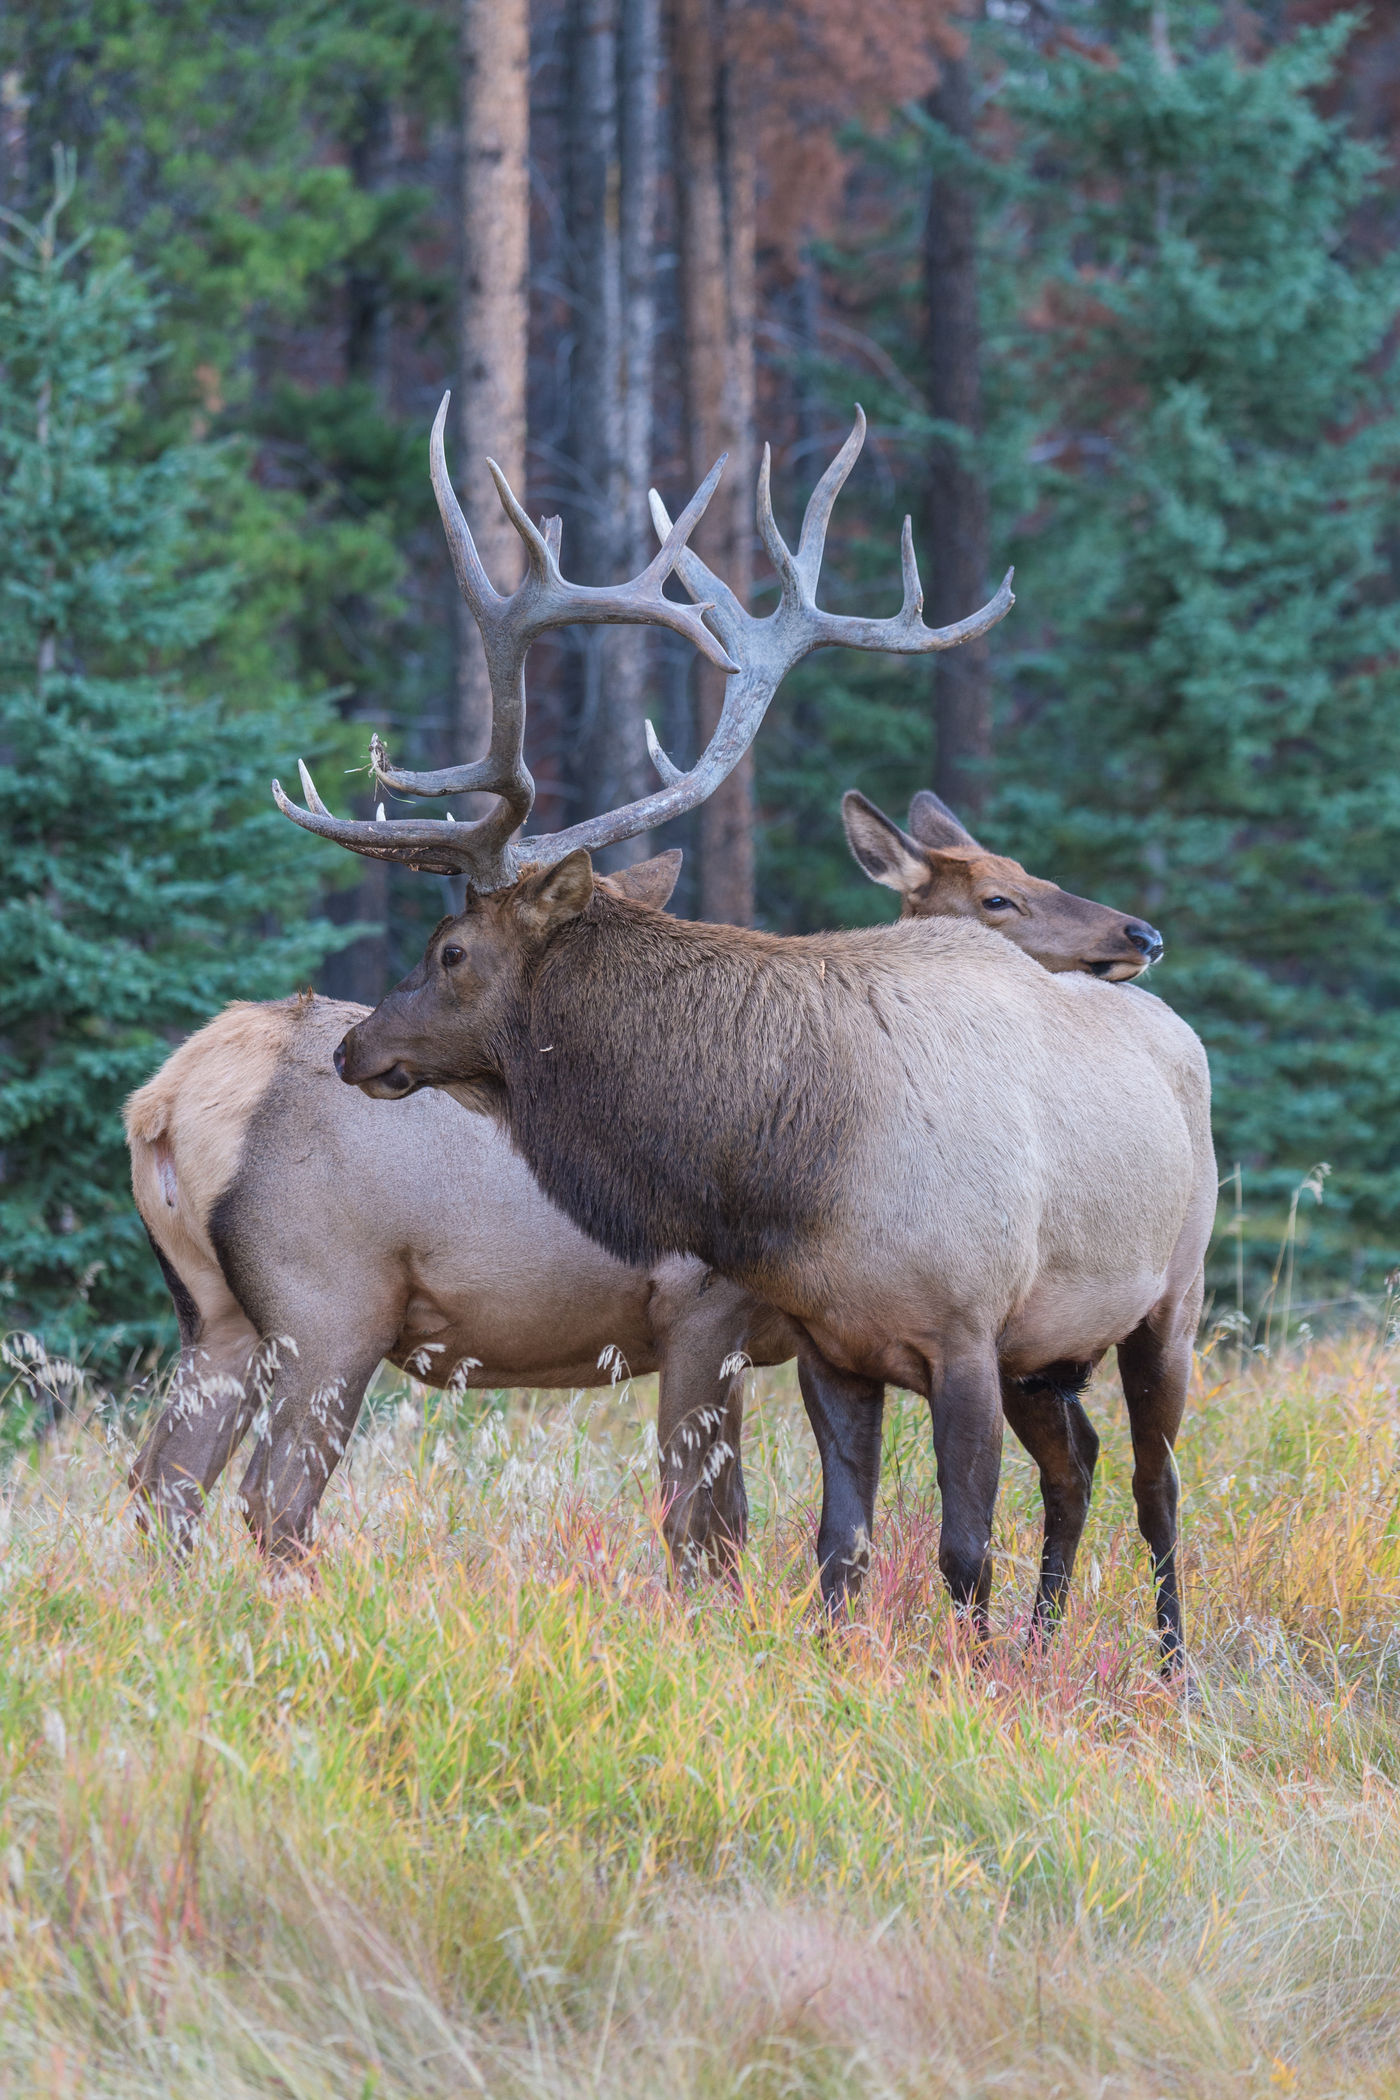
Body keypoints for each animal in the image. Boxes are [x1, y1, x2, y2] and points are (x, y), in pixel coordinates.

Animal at [131, 802, 1158, 1579]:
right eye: (997, 897)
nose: (1138, 932)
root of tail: (167, 1099)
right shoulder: (702, 1306)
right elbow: (709, 1522)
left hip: (219, 1315)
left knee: (161, 1483)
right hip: (331, 1306)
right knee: (273, 1496)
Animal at [272, 401, 1217, 1663]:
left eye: (450, 952)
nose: (356, 1047)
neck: (790, 1162)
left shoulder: (967, 1325)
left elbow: (959, 1548)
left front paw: (969, 1682)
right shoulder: (833, 1346)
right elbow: (836, 1549)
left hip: (1167, 1298)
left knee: (1157, 1486)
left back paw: (1166, 1669)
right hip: (1051, 1353)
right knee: (1078, 1468)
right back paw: (1043, 1643)